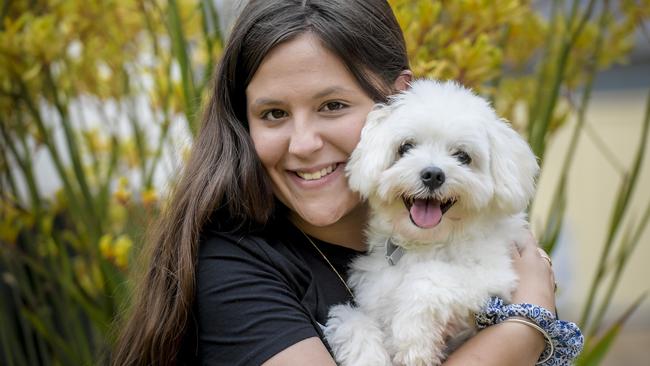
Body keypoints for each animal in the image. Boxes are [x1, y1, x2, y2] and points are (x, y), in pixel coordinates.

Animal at [322, 80, 536, 366]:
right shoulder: (374, 294)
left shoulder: (494, 275)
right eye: (406, 147)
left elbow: (428, 279)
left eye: (463, 156)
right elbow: (351, 321)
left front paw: (412, 342)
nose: (433, 174)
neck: (425, 243)